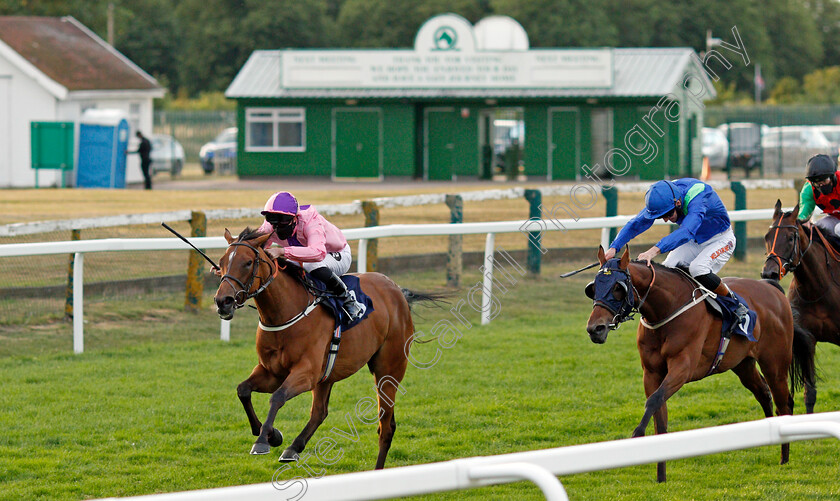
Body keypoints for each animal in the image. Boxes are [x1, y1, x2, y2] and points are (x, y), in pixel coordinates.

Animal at [213, 228, 440, 468]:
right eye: (221, 262)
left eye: (247, 262)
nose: (223, 301)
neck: (285, 312)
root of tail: (397, 291)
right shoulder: (271, 372)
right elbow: (243, 390)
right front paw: (271, 434)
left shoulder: (306, 373)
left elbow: (277, 397)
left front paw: (263, 440)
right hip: (328, 375)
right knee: (320, 412)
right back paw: (293, 448)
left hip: (388, 370)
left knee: (386, 426)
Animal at [584, 246, 812, 480]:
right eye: (593, 288)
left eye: (617, 288)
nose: (595, 329)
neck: (667, 308)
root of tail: (772, 288)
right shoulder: (651, 373)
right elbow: (659, 414)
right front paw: (661, 477)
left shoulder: (683, 367)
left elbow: (654, 400)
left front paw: (637, 436)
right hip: (743, 364)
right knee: (764, 394)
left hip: (775, 363)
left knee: (784, 403)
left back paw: (784, 458)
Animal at [760, 197, 832, 412]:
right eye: (767, 236)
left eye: (791, 238)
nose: (769, 273)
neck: (818, 288)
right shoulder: (808, 338)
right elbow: (810, 393)